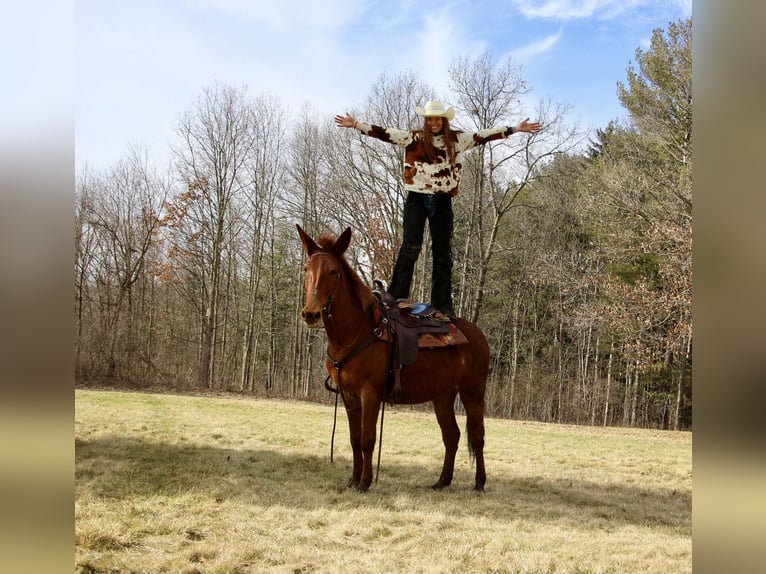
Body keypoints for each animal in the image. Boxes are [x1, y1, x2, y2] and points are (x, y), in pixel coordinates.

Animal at [296, 225, 488, 496]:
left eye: (333, 271)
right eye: (306, 269)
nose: (310, 314)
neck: (356, 333)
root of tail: (478, 334)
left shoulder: (370, 394)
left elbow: (367, 439)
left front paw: (365, 482)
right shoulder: (348, 396)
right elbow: (355, 439)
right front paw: (353, 479)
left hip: (473, 392)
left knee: (478, 436)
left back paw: (480, 482)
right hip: (442, 396)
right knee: (452, 436)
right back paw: (442, 481)